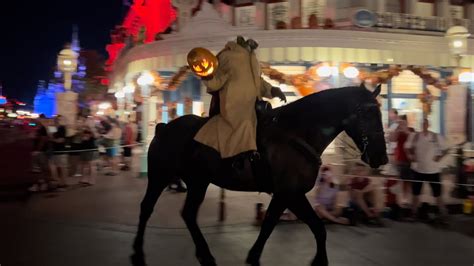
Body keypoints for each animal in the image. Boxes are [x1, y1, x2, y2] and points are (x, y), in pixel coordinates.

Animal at [131, 84, 386, 264]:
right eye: (366, 113)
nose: (381, 157)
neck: (296, 134)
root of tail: (164, 127)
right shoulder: (288, 194)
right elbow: (273, 226)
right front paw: (254, 257)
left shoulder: (290, 195)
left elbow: (313, 228)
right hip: (160, 177)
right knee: (146, 208)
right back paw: (138, 252)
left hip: (197, 182)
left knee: (188, 214)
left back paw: (205, 255)